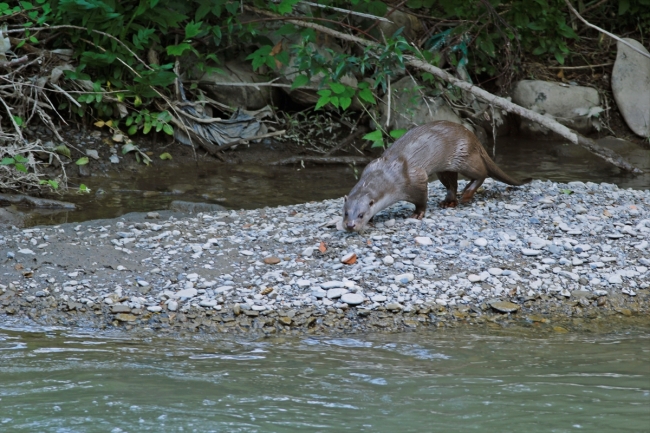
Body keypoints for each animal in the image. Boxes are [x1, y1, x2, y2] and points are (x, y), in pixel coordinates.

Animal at [342, 120, 528, 231]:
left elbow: (421, 199)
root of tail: (472, 136)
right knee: (452, 184)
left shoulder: (416, 179)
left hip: (465, 158)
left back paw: (467, 195)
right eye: (345, 213)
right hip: (445, 169)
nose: (350, 225)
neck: (388, 175)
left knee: (481, 173)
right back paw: (449, 202)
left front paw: (418, 214)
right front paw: (372, 219)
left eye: (361, 214)